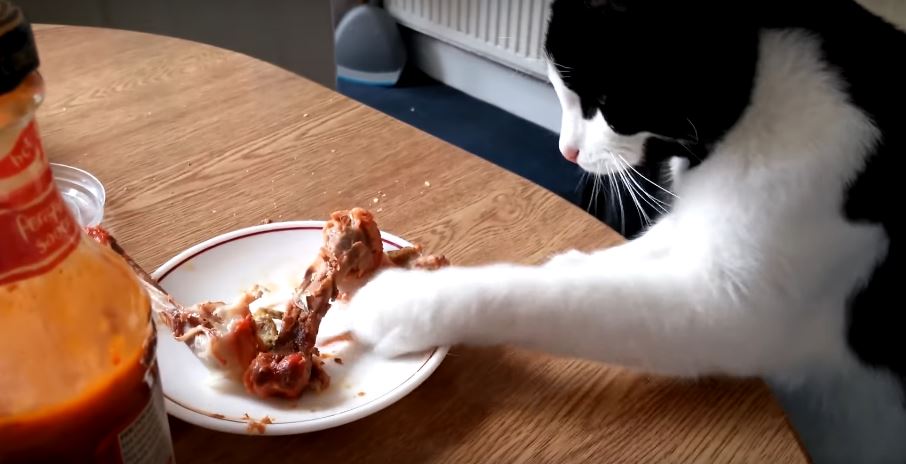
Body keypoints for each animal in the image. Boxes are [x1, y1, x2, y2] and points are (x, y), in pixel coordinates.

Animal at [342, 1, 900, 462]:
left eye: (600, 100)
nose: (566, 151)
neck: (761, 96)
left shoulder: (739, 311)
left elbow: (562, 300)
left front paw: (404, 299)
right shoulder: (691, 225)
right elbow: (618, 263)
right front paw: (568, 265)